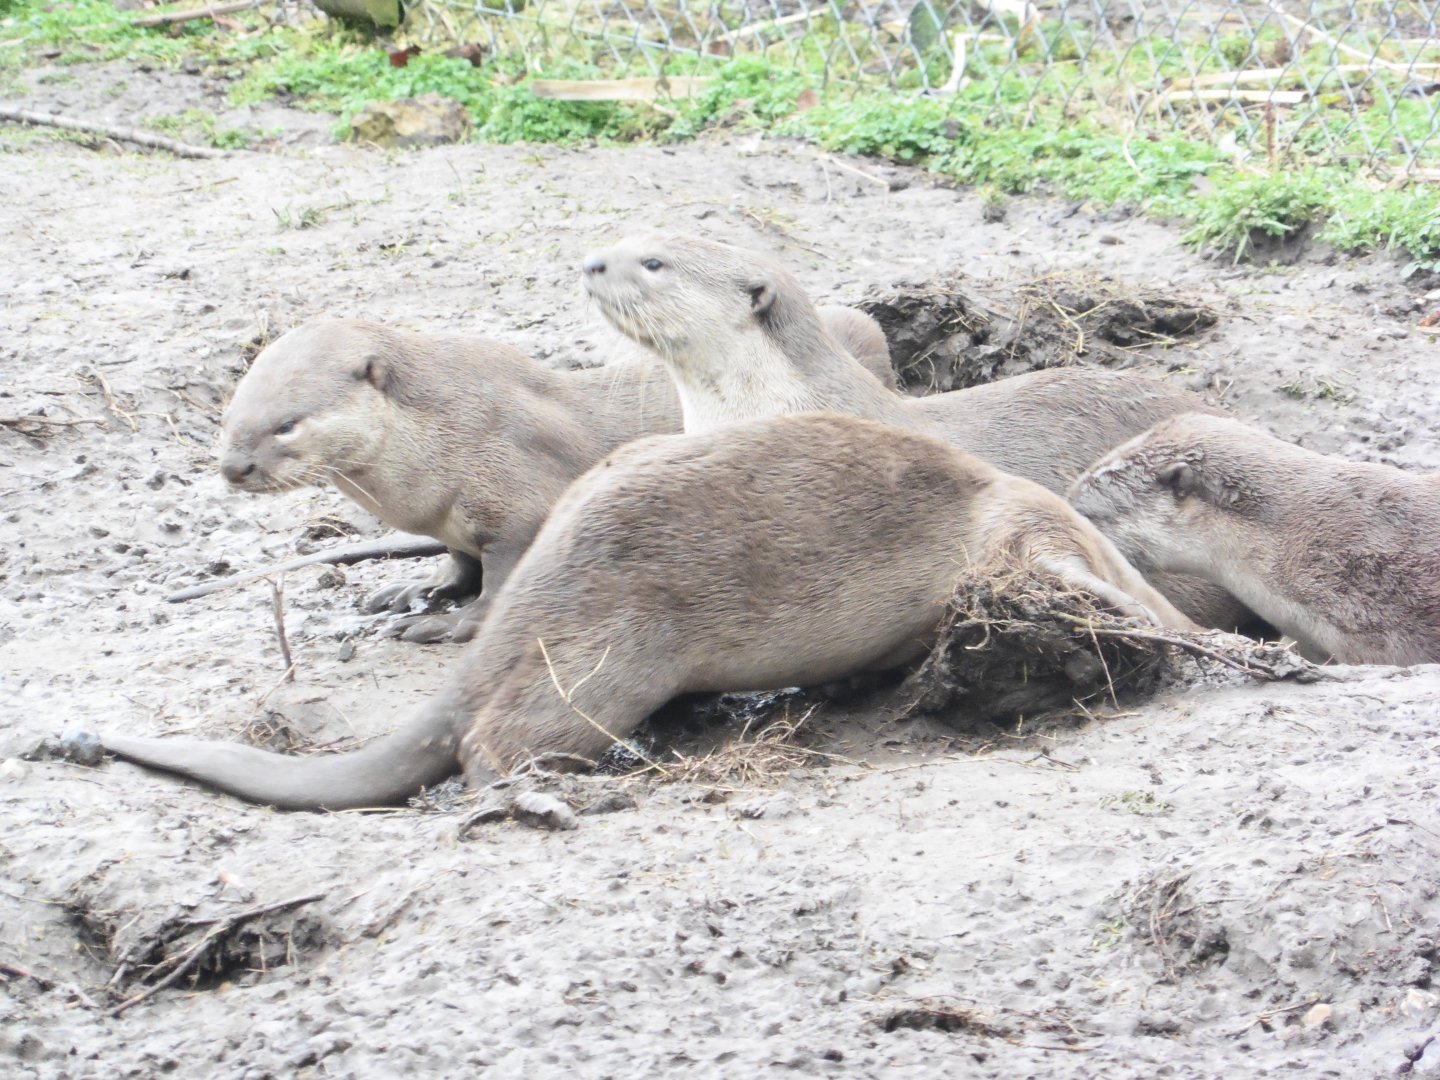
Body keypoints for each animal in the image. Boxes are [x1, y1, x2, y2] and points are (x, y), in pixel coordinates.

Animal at [216, 311, 892, 642]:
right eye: (230, 416)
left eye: (287, 425)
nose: (234, 466)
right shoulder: (454, 521)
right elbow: (459, 563)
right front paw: (417, 590)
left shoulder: (517, 502)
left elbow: (501, 580)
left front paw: (452, 624)